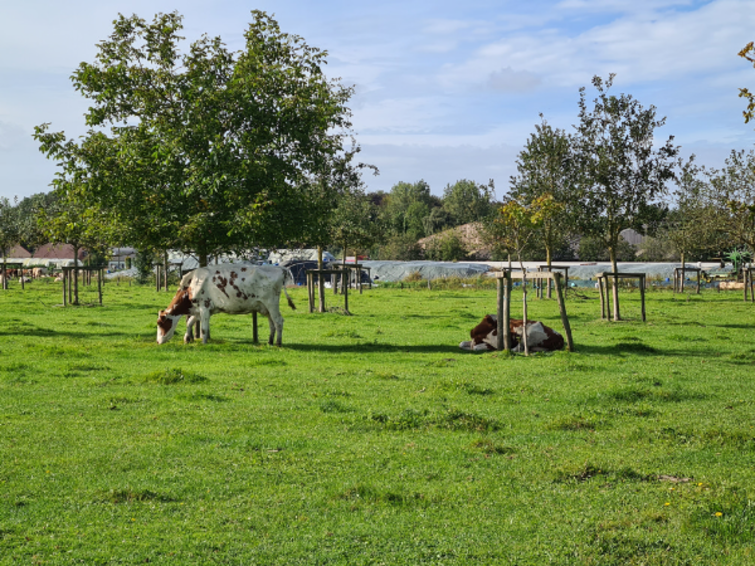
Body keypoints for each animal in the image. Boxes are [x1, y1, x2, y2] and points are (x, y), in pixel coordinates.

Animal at [157, 264, 296, 346]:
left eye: (160, 323)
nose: (158, 341)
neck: (191, 285)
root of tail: (280, 268)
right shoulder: (198, 309)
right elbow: (189, 322)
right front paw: (187, 338)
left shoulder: (204, 307)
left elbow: (203, 328)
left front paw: (203, 343)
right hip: (265, 307)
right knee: (272, 322)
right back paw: (270, 341)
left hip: (272, 303)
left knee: (278, 321)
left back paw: (278, 343)